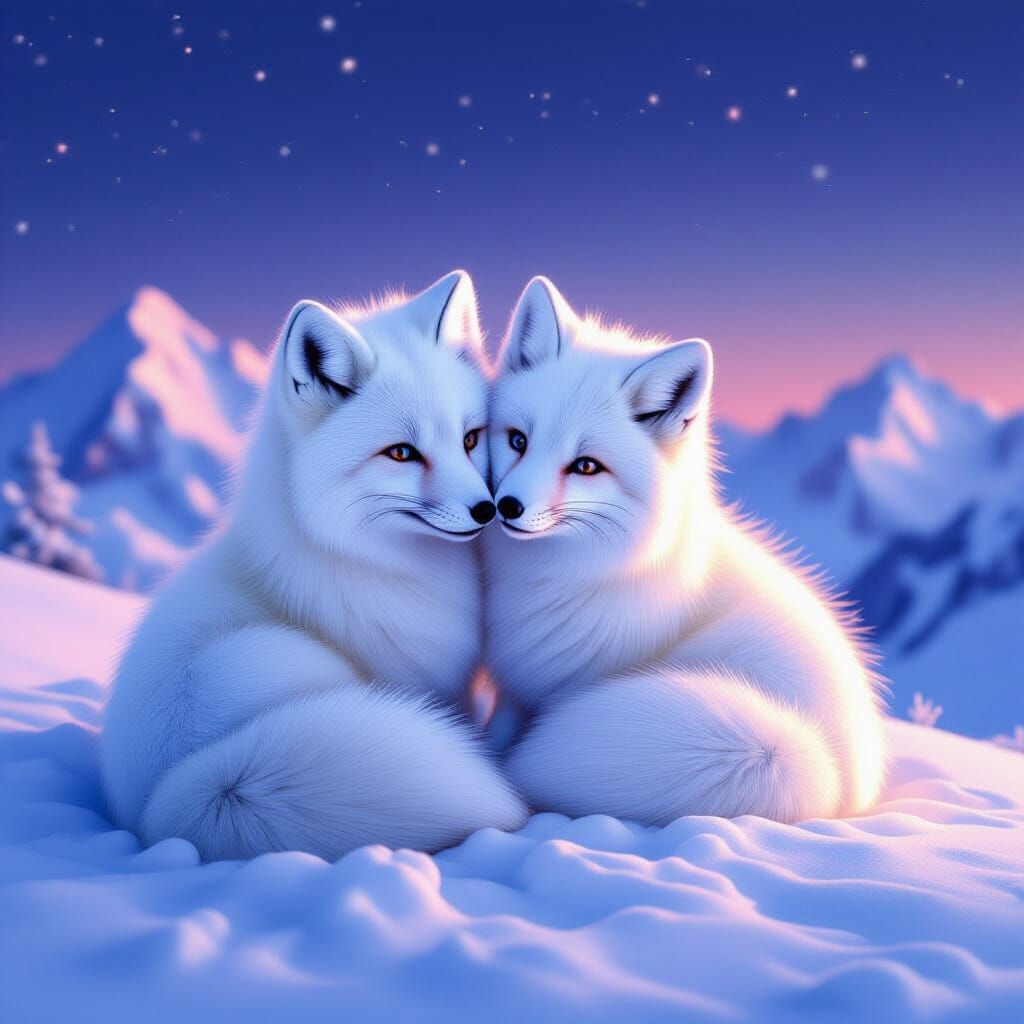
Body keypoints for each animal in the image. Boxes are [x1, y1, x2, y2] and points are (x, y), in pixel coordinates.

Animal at [101, 271, 527, 861]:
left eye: (470, 439)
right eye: (401, 453)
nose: (486, 510)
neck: (355, 555)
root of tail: (166, 807)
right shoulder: (421, 680)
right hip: (267, 660)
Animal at [483, 277, 886, 825]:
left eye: (586, 466)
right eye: (518, 441)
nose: (506, 506)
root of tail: (838, 778)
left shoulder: (559, 686)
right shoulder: (515, 687)